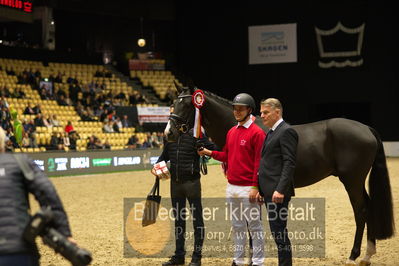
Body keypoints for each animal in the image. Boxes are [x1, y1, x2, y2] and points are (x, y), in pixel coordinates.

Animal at [166, 85, 396, 266]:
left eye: (186, 105)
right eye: (172, 103)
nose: (168, 133)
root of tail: (366, 128)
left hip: (352, 180)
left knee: (361, 210)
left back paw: (354, 256)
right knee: (369, 206)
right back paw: (367, 255)